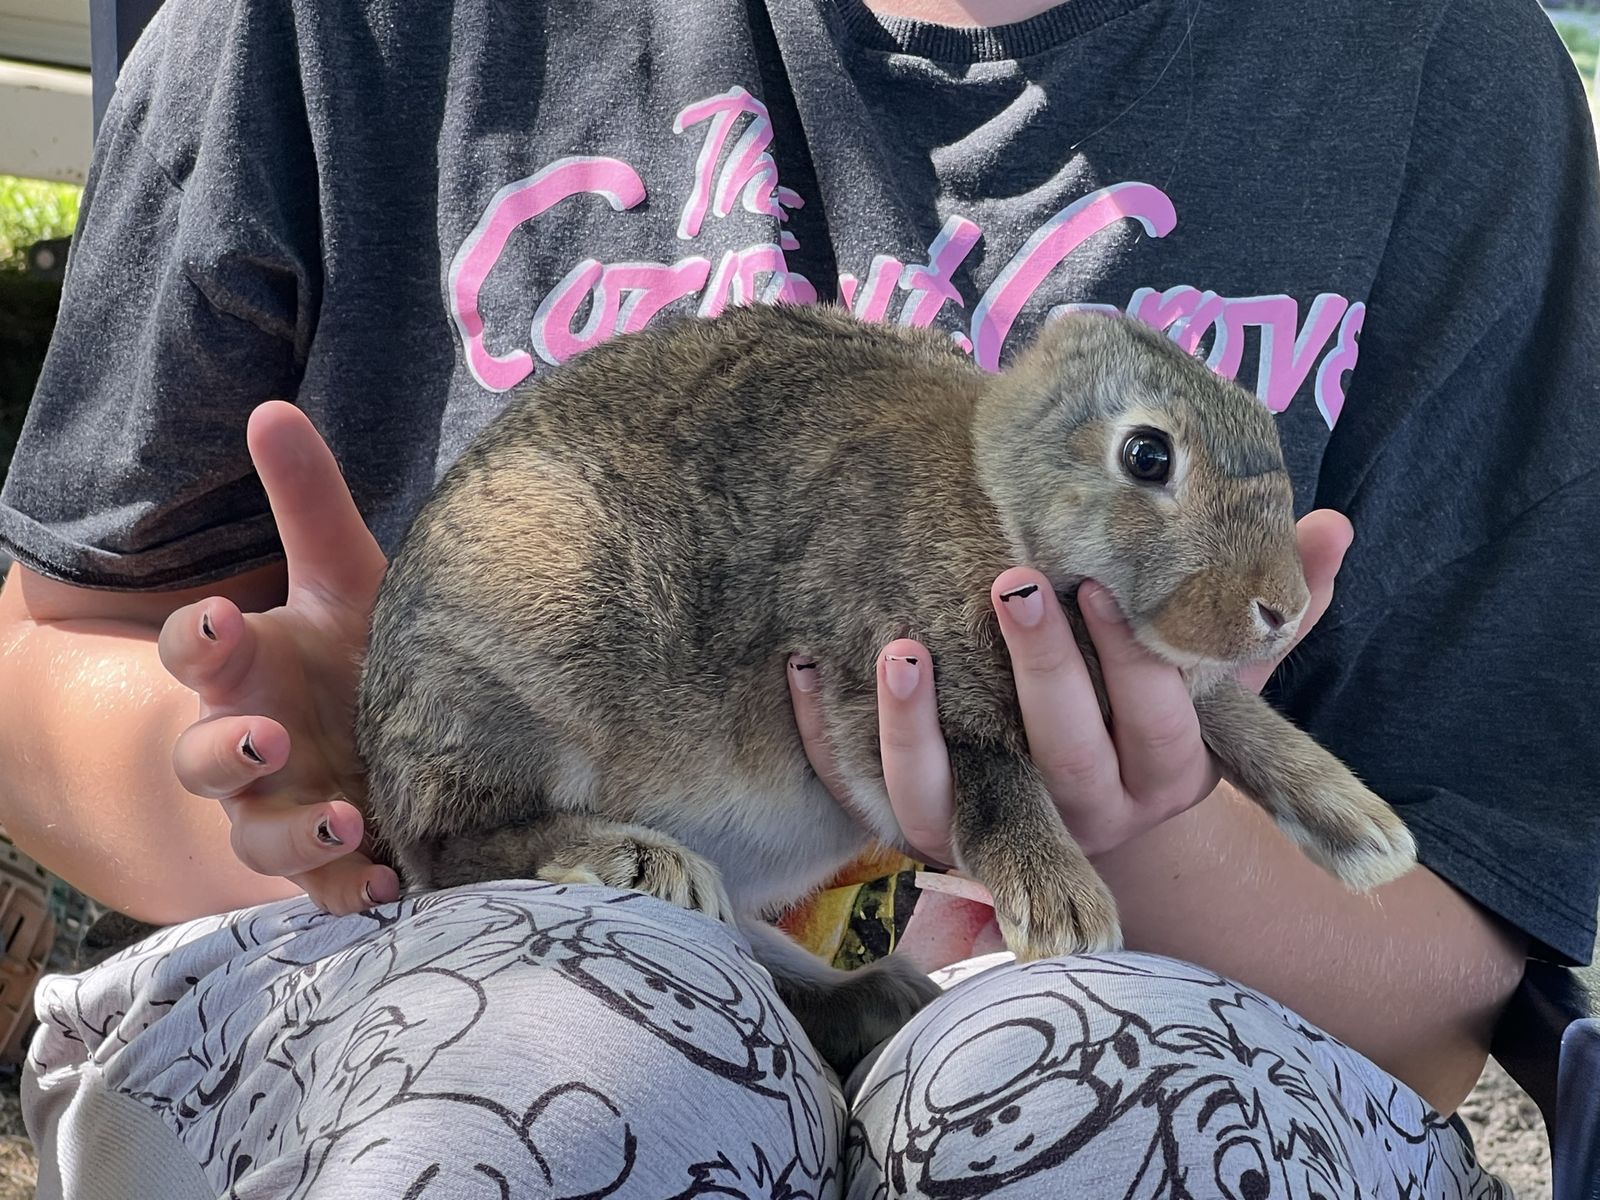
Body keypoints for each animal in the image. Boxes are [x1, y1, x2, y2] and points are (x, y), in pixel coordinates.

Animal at [353, 302, 1417, 1074]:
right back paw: (638, 861)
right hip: (525, 660)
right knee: (453, 848)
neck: (1005, 505)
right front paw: (1066, 914)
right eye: (1148, 454)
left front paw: (1367, 836)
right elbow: (996, 782)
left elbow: (1235, 714)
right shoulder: (888, 685)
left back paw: (884, 996)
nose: (1281, 606)